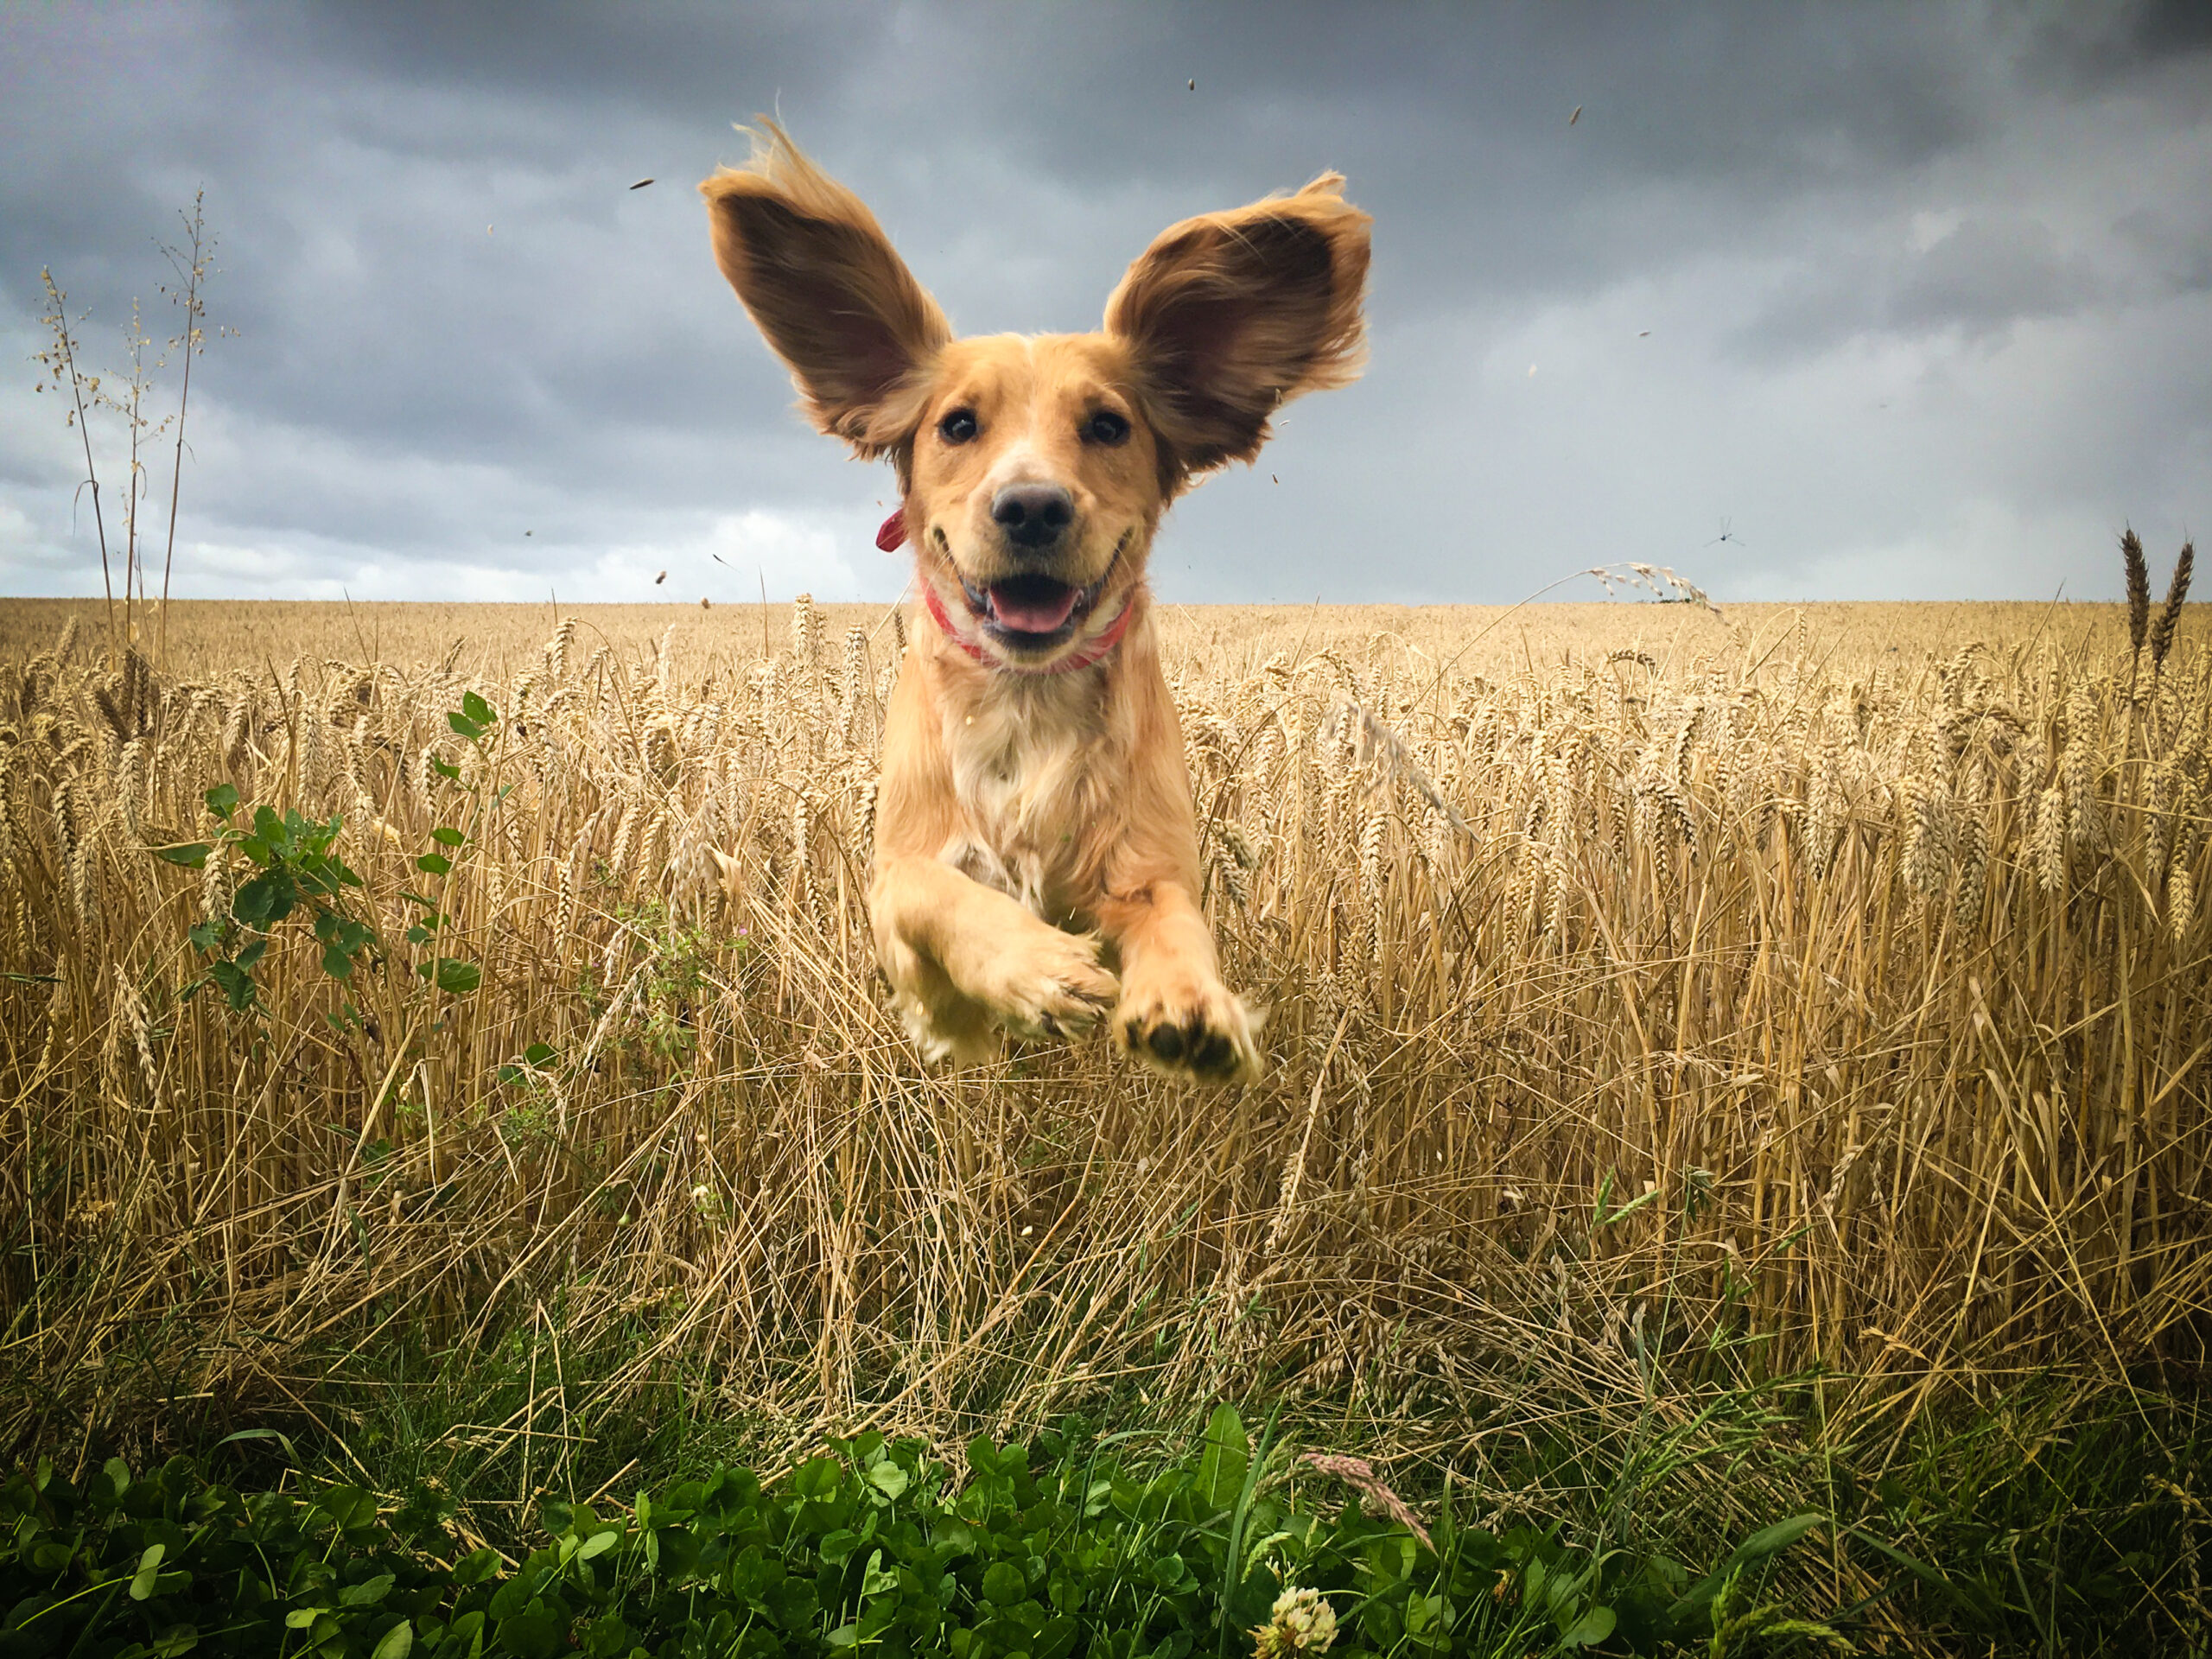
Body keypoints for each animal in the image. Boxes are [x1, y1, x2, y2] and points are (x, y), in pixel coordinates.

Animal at [703, 126, 1362, 1092]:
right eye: (956, 425)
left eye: (1109, 426)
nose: (1032, 508)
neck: (1025, 698)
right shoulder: (895, 880)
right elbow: (943, 897)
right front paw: (1037, 971)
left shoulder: (1149, 864)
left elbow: (1176, 924)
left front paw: (1189, 1006)